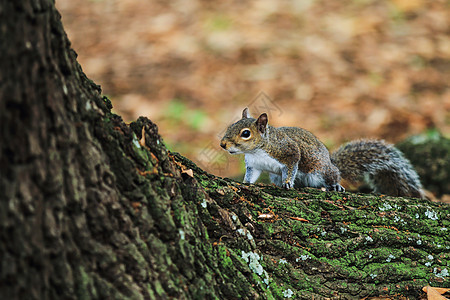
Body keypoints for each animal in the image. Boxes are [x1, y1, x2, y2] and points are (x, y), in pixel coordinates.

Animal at [220, 108, 424, 199]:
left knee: (333, 175)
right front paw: (245, 183)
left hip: (321, 170)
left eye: (246, 133)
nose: (222, 144)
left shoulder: (288, 151)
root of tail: (330, 161)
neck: (258, 150)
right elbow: (251, 176)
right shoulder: (254, 165)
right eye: (230, 126)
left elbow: (293, 164)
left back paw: (336, 186)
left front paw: (288, 182)